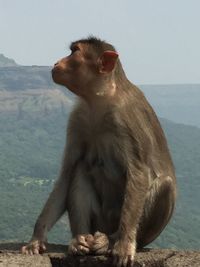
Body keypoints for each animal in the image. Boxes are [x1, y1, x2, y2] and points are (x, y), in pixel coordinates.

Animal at [21, 36, 176, 267]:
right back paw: (80, 241)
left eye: (74, 52)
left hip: (124, 226)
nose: (57, 62)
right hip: (99, 221)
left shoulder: (127, 116)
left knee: (165, 185)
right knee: (80, 168)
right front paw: (37, 238)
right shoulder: (77, 119)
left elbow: (138, 173)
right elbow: (67, 173)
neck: (99, 99)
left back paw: (110, 241)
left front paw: (124, 244)